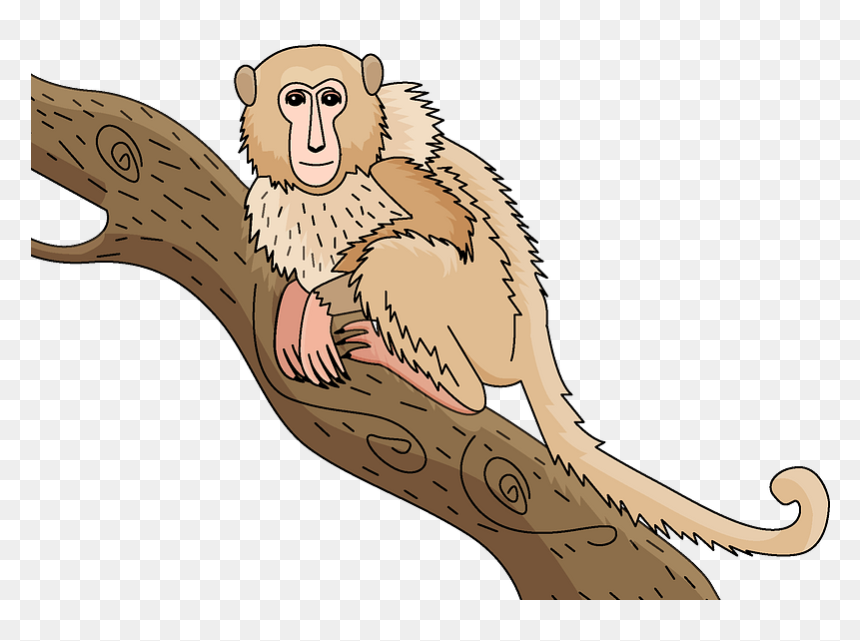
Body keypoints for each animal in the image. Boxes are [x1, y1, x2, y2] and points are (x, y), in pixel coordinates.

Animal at [234, 45, 828, 556]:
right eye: (295, 100)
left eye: (330, 99)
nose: (315, 144)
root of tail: (531, 334)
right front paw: (298, 300)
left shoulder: (391, 169)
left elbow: (445, 229)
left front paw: (319, 302)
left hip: (485, 324)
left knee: (401, 264)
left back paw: (449, 389)